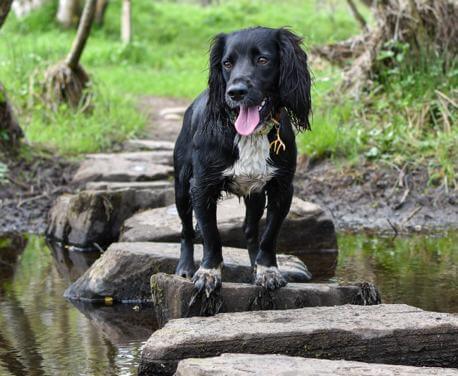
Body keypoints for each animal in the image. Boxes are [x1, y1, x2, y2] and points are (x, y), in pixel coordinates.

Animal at [172, 27, 312, 296]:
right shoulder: (201, 186)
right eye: (227, 63)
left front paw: (267, 270)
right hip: (182, 187)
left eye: (263, 60)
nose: (235, 92)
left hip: (254, 195)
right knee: (186, 229)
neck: (251, 134)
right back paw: (184, 267)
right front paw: (208, 273)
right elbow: (211, 235)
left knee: (250, 231)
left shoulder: (282, 188)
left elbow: (269, 236)